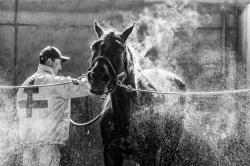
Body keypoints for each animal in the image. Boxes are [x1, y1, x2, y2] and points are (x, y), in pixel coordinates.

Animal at [87, 20, 187, 166]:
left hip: (170, 147)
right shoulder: (111, 154)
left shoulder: (148, 156)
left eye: (120, 48)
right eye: (94, 46)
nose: (97, 76)